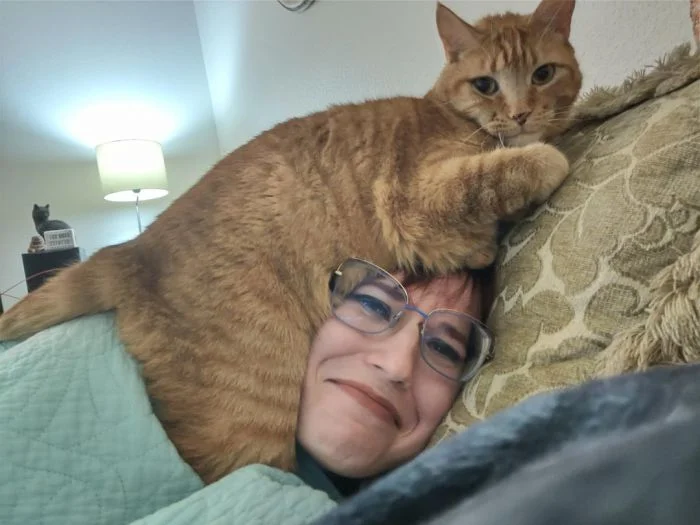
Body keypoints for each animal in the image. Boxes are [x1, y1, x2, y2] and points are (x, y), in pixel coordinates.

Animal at [0, 0, 582, 483]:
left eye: (543, 74)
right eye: (486, 84)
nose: (522, 114)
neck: (448, 112)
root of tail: (127, 252)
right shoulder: (417, 203)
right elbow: (501, 174)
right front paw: (542, 161)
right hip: (248, 419)